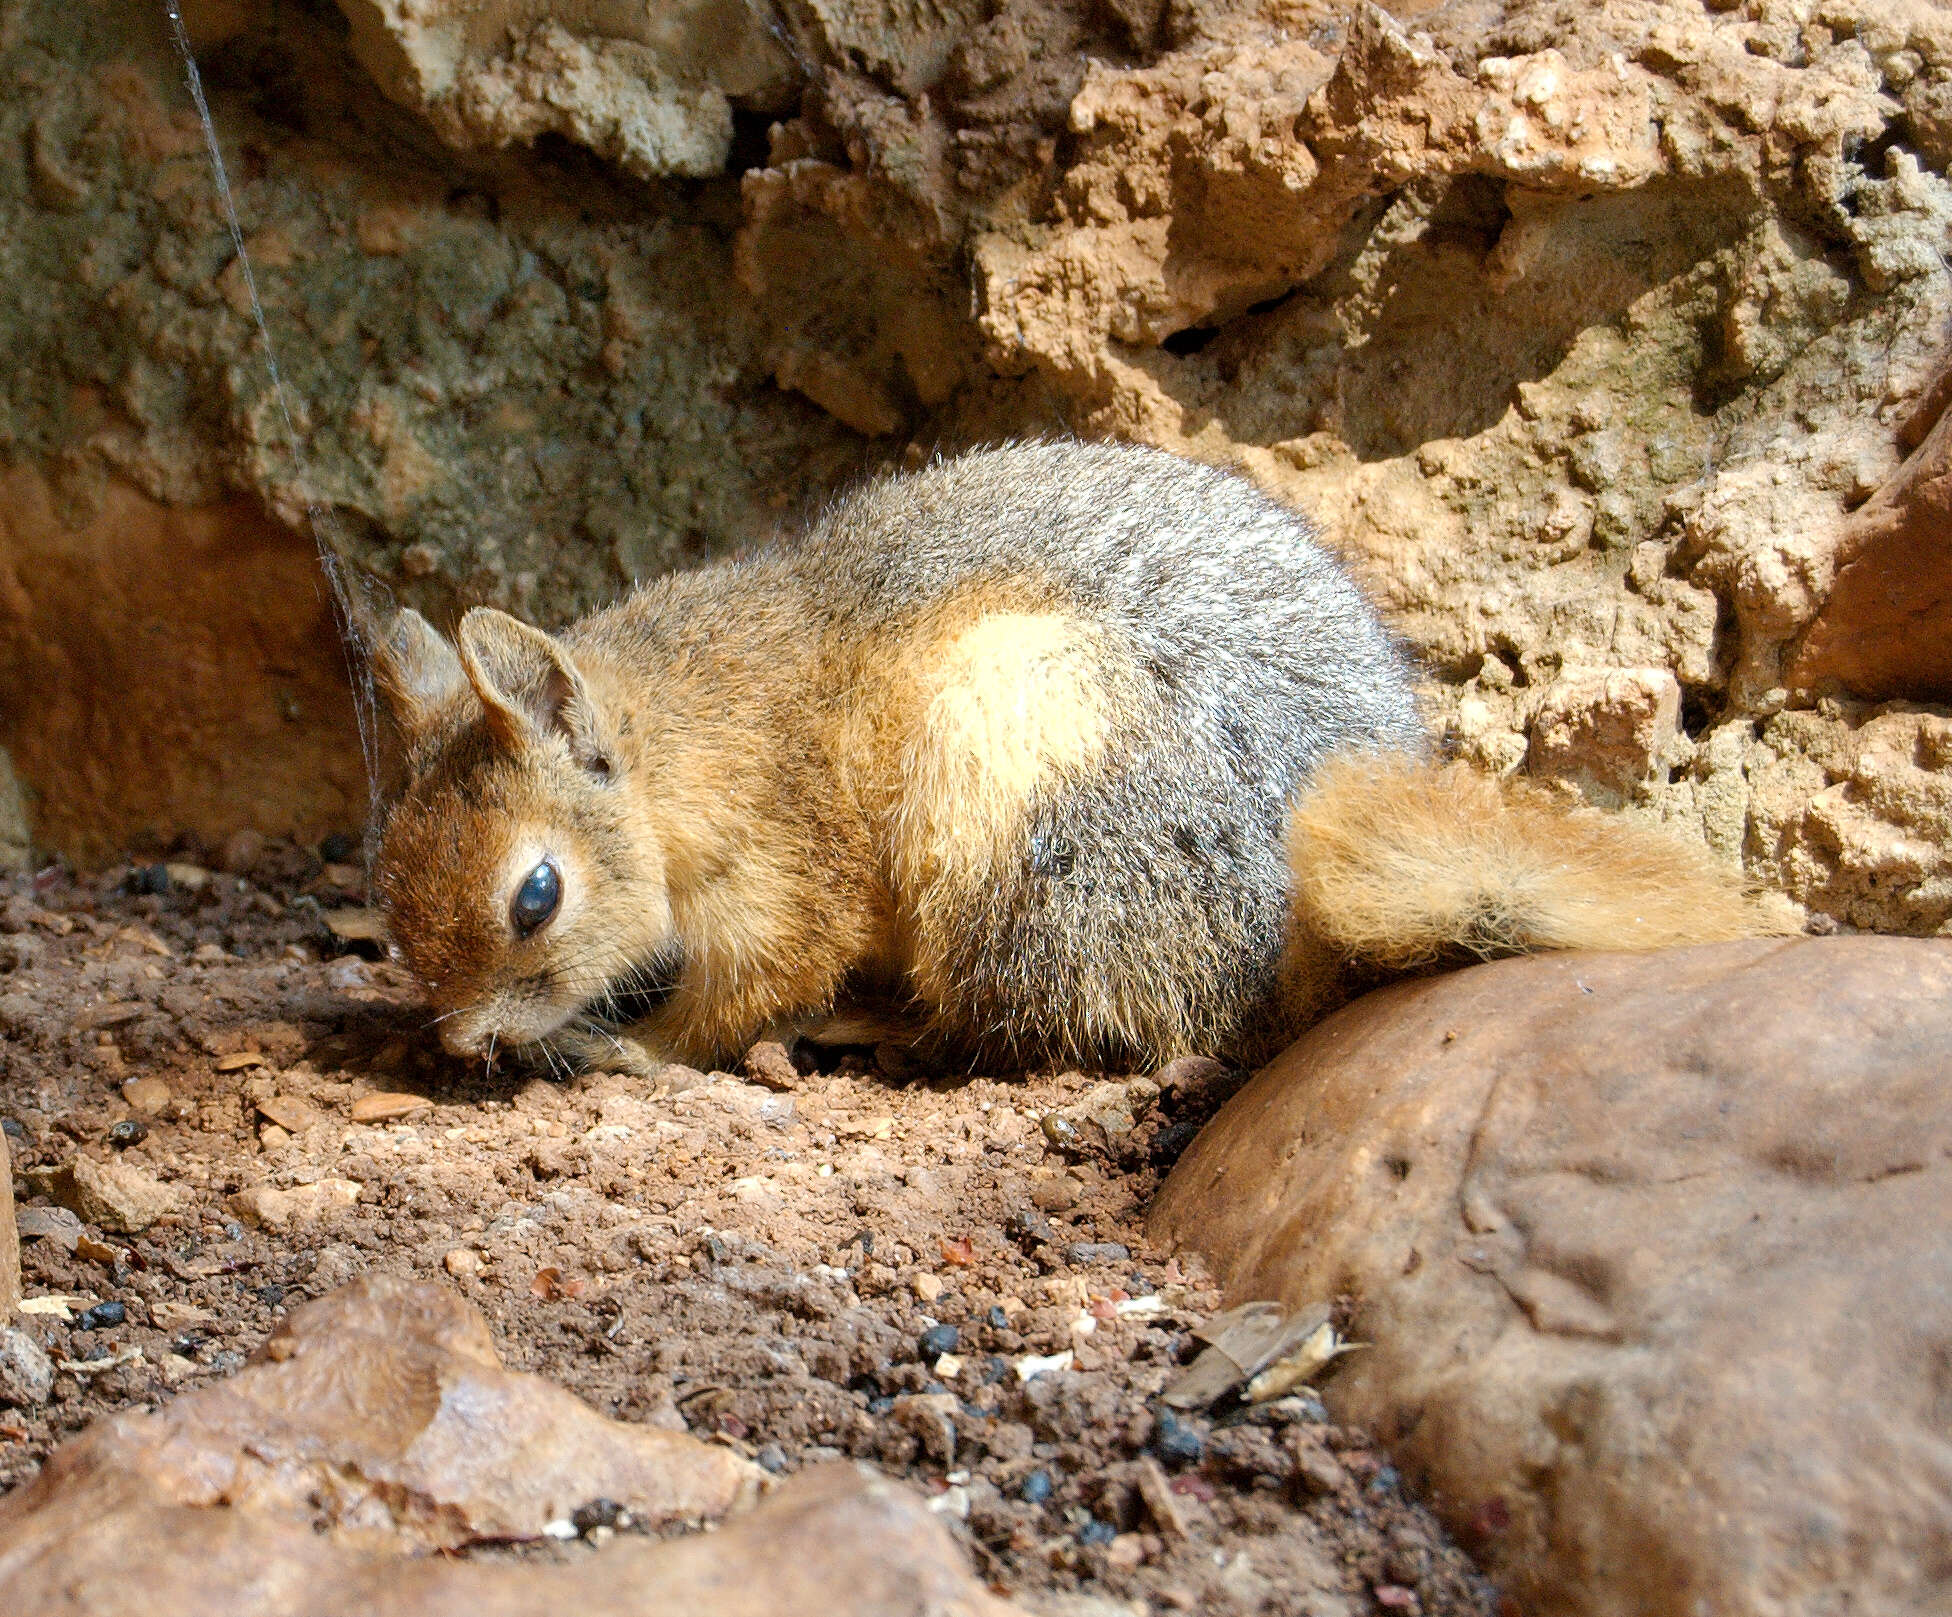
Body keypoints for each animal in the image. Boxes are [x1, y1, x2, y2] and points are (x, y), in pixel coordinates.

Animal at [363, 439, 1772, 1085]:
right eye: (385, 883)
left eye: (535, 895)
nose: (456, 1043)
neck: (685, 739)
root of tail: (1283, 961)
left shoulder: (783, 870)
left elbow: (748, 990)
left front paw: (638, 1049)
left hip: (1005, 789)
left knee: (1023, 1024)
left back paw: (869, 1026)